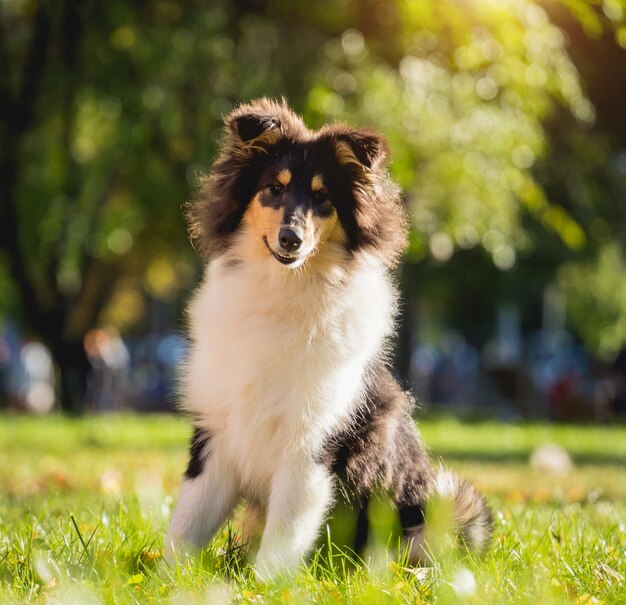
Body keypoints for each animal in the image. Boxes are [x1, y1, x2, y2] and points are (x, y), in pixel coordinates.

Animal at [166, 98, 492, 576]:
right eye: (274, 188)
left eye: (322, 198)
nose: (291, 239)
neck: (284, 290)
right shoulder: (217, 433)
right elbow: (187, 521)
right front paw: (164, 576)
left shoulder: (312, 445)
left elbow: (284, 536)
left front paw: (263, 584)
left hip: (445, 505)